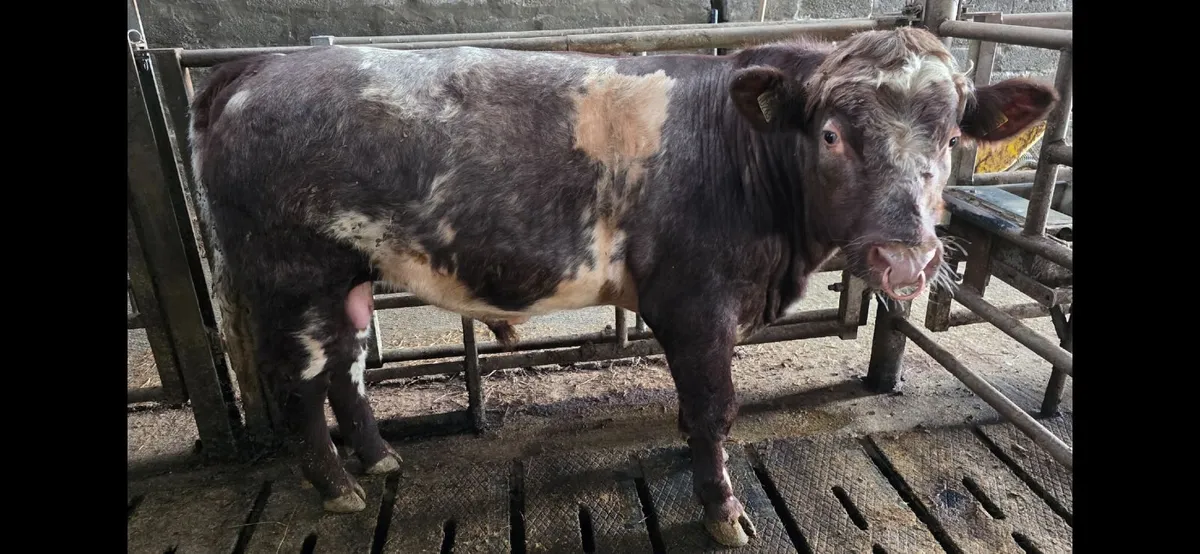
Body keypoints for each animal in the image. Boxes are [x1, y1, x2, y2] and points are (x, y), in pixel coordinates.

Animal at [188, 26, 1056, 547]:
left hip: (351, 277)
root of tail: (261, 66)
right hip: (292, 276)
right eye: (834, 136)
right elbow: (715, 408)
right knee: (305, 382)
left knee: (348, 367)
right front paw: (722, 509)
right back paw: (337, 487)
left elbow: (698, 412)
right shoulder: (698, 307)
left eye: (949, 137)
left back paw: (378, 460)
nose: (906, 258)